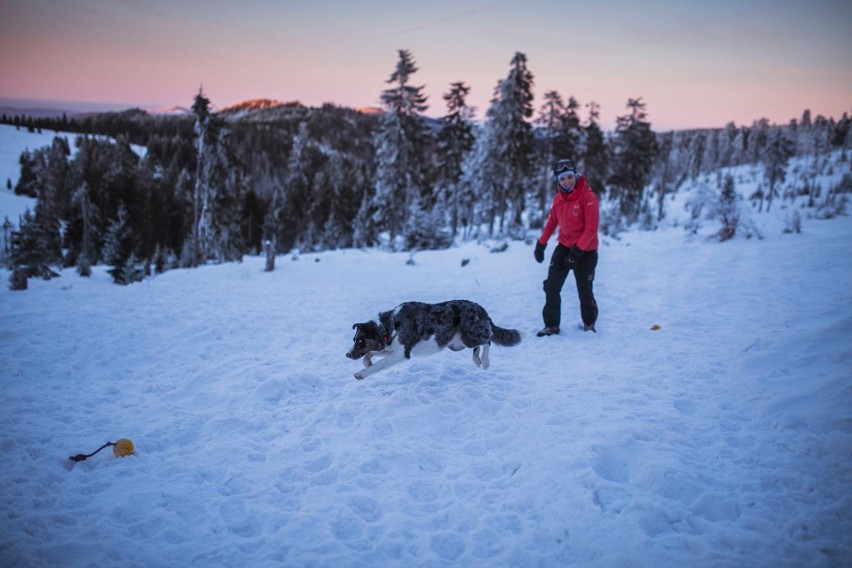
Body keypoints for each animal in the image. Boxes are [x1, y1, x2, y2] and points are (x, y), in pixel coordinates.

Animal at [344, 300, 520, 380]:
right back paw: (477, 360)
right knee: (480, 344)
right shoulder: (394, 349)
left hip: (469, 336)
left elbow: (379, 364)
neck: (388, 326)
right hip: (457, 343)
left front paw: (361, 373)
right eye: (354, 339)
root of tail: (481, 308)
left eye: (360, 340)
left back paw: (484, 361)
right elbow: (372, 354)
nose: (347, 354)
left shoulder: (402, 353)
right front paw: (367, 362)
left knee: (487, 340)